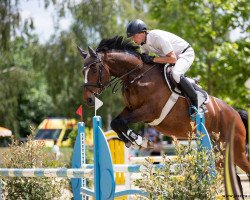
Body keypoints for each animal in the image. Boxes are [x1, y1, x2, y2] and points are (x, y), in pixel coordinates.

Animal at [77, 36, 248, 173]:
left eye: (94, 69)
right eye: (82, 72)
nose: (88, 99)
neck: (137, 76)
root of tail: (235, 112)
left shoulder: (150, 112)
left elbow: (121, 121)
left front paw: (139, 141)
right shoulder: (131, 109)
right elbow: (115, 122)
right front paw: (132, 141)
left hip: (235, 149)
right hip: (219, 149)